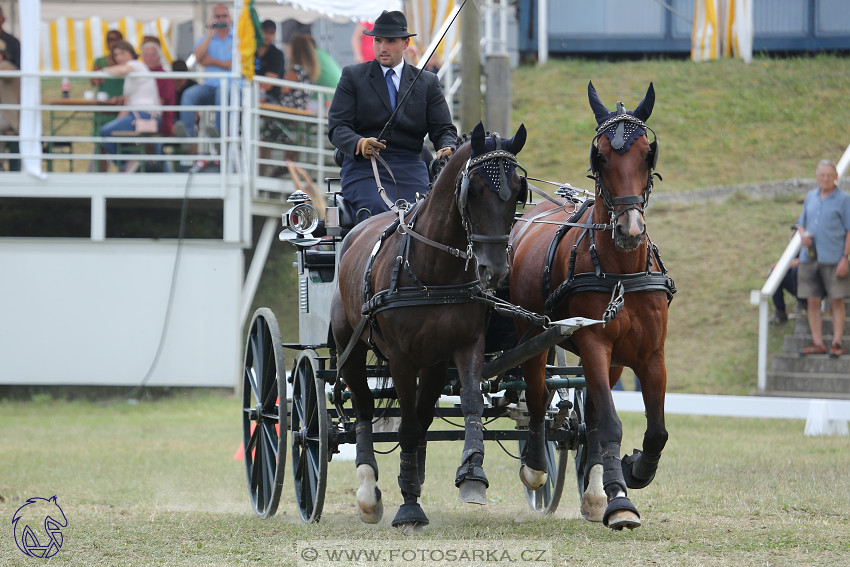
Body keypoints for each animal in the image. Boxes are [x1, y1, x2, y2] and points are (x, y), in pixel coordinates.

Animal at [330, 122, 524, 532]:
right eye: (474, 189)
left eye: (518, 190)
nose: (495, 270)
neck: (434, 271)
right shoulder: (401, 358)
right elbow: (404, 425)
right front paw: (409, 508)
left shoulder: (462, 346)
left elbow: (468, 403)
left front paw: (471, 473)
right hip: (351, 350)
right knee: (364, 409)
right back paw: (368, 491)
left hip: (432, 364)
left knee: (421, 417)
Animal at [506, 82, 672, 532]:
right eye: (599, 155)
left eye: (647, 153)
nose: (630, 230)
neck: (620, 272)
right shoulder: (595, 344)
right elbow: (611, 423)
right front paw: (620, 499)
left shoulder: (649, 353)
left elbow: (652, 430)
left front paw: (629, 476)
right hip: (533, 337)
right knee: (537, 395)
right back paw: (535, 467)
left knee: (589, 416)